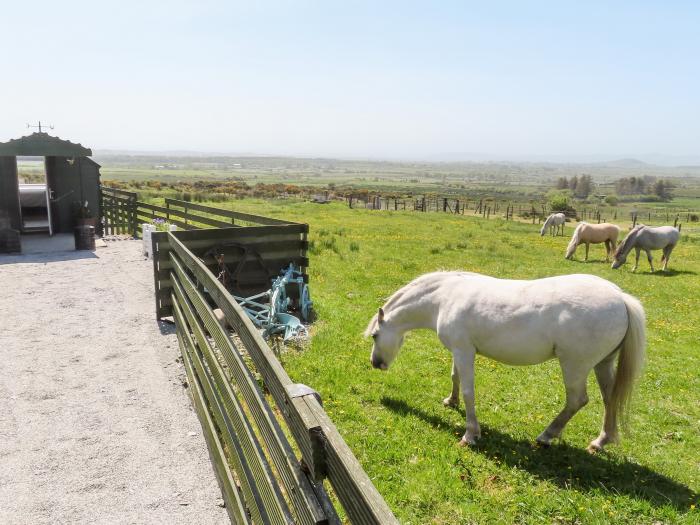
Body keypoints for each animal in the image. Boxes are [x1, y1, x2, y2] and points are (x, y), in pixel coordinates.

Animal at [366, 272, 644, 452]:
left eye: (375, 335)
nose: (375, 363)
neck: (445, 298)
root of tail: (620, 298)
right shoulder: (459, 350)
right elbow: (456, 378)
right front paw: (450, 402)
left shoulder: (464, 352)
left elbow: (468, 391)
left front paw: (470, 434)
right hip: (603, 364)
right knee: (610, 399)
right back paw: (600, 441)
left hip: (575, 366)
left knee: (577, 401)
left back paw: (546, 436)